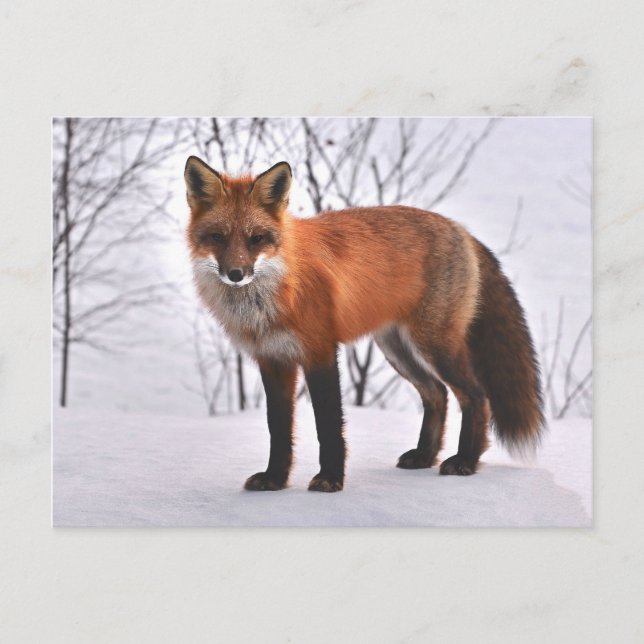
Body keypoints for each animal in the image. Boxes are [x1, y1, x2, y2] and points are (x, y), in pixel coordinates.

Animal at [184, 155, 544, 493]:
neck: (274, 293)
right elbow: (278, 429)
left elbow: (328, 425)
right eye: (217, 237)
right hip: (398, 349)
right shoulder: (273, 360)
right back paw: (425, 456)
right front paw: (275, 479)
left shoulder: (320, 351)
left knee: (476, 396)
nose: (236, 274)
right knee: (437, 394)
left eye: (256, 239)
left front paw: (330, 479)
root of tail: (460, 229)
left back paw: (466, 460)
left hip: (435, 345)